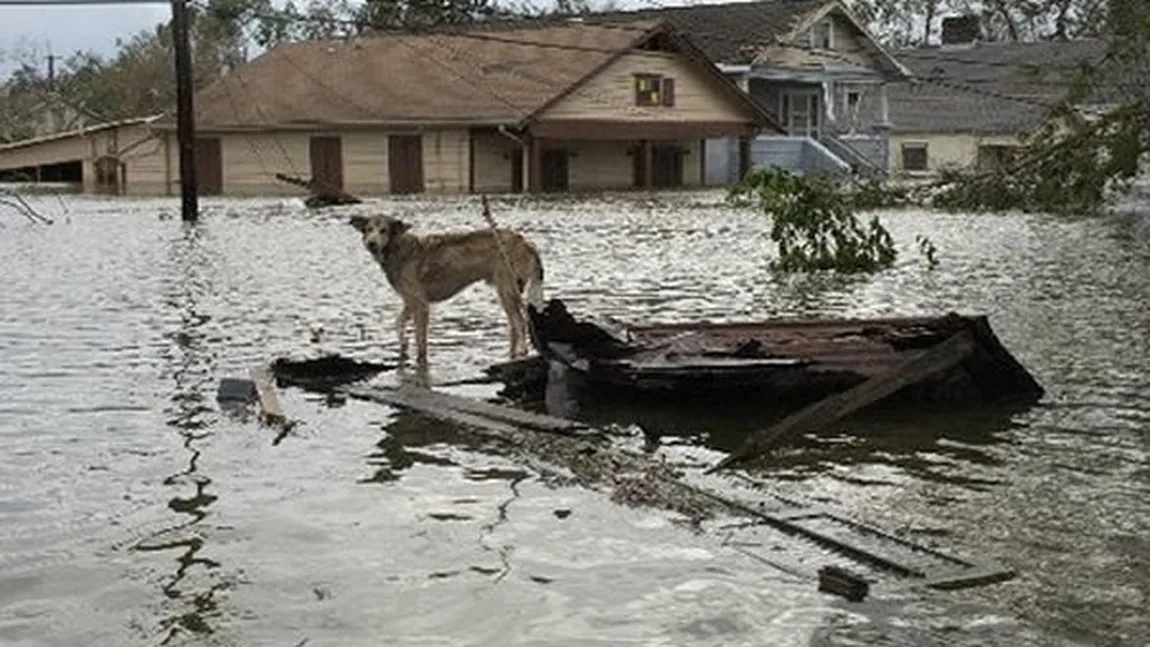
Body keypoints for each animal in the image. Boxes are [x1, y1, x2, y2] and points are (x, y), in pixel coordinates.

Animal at [347, 214, 545, 367]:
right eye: (368, 229)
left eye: (383, 231)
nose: (371, 243)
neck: (397, 250)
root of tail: (526, 241)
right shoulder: (410, 301)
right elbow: (398, 323)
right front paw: (403, 345)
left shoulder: (421, 305)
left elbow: (421, 343)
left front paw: (420, 361)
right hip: (507, 293)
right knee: (514, 325)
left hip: (507, 291)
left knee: (520, 323)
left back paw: (521, 351)